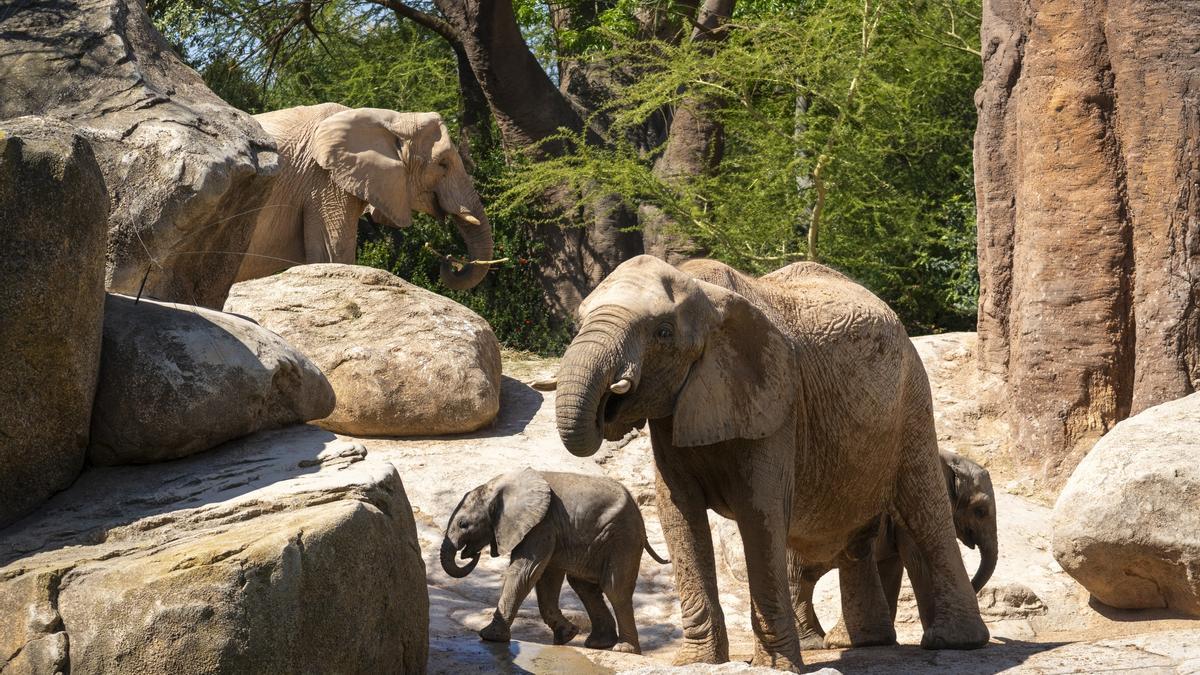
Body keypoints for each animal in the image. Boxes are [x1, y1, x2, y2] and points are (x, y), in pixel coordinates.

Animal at [440, 468, 668, 654]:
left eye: (463, 524)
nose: (471, 554)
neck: (497, 487)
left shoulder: (541, 524)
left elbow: (525, 572)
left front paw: (489, 636)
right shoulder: (550, 528)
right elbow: (545, 577)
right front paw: (567, 635)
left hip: (622, 537)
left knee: (614, 588)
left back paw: (623, 649)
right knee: (584, 586)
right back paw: (598, 644)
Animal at [791, 449, 998, 650]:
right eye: (980, 511)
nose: (973, 587)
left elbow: (891, 568)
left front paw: (891, 643)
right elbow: (917, 561)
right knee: (799, 579)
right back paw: (814, 644)